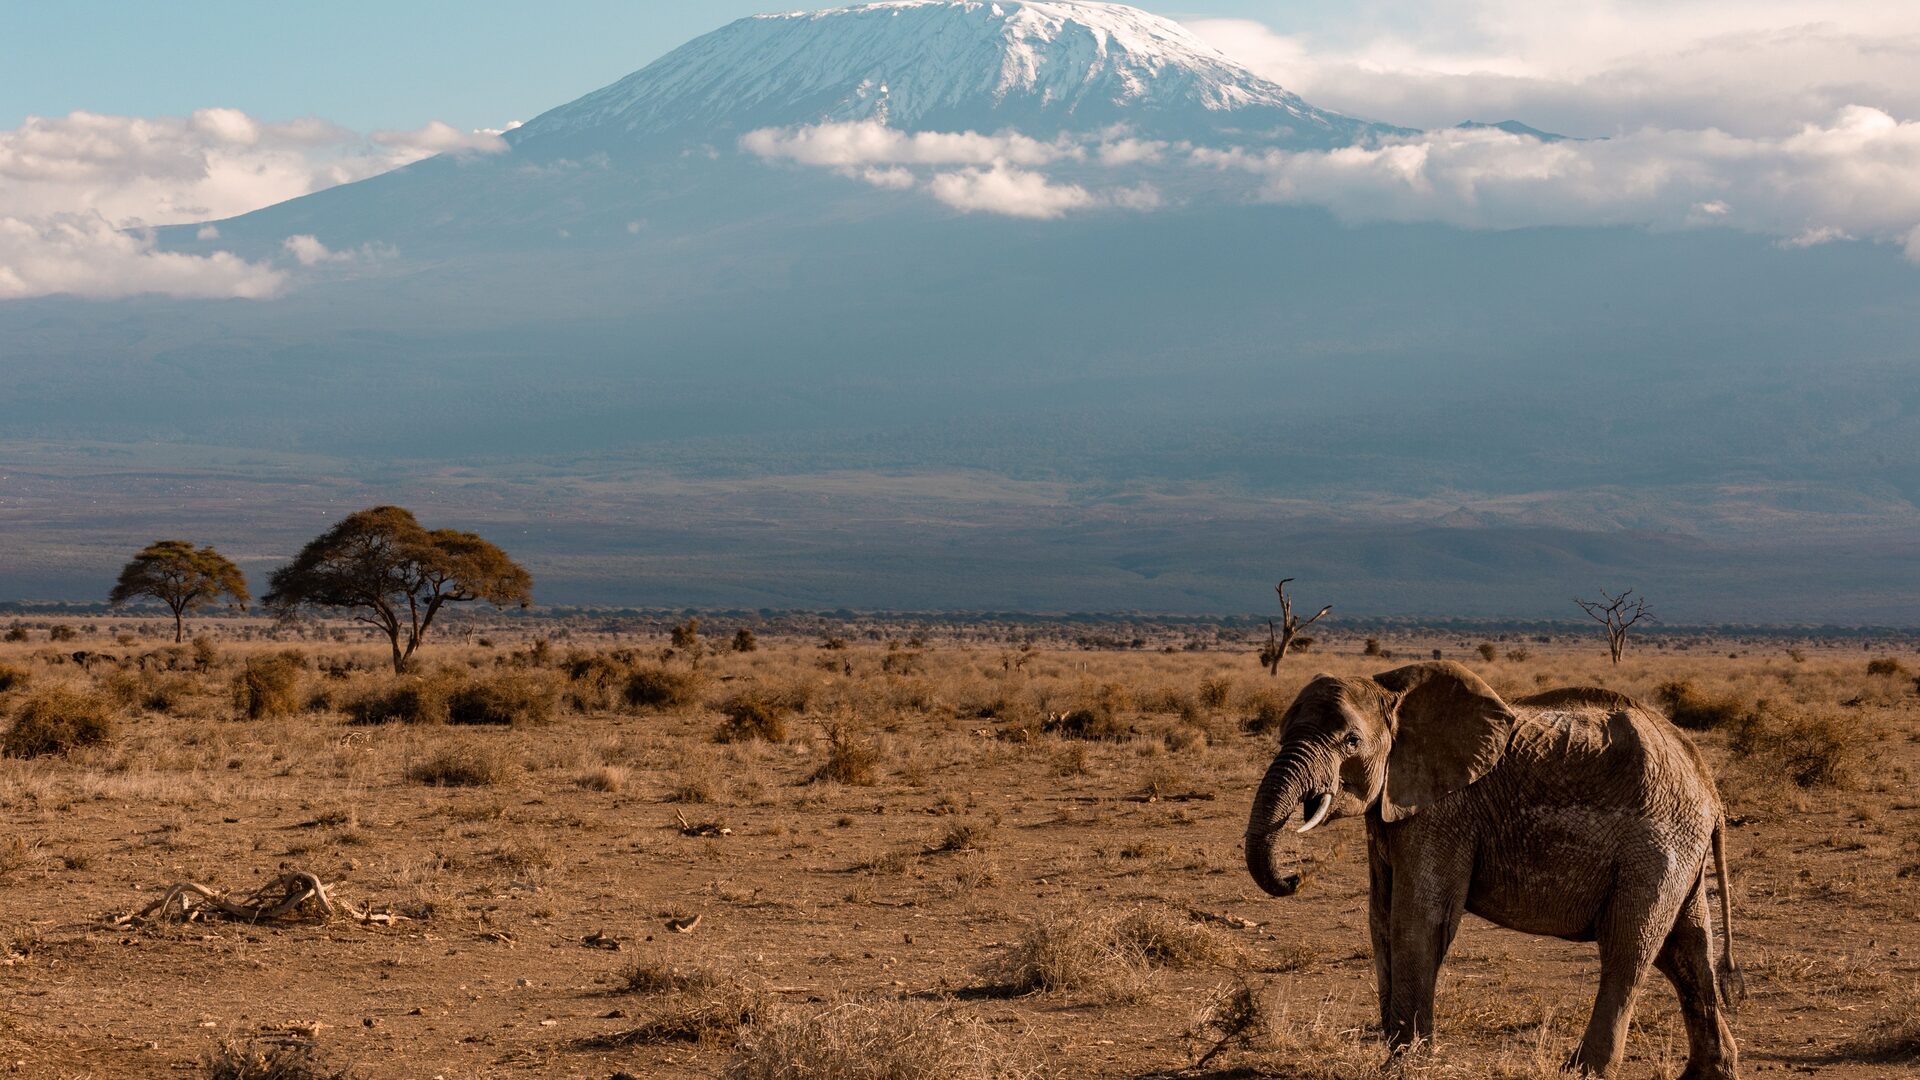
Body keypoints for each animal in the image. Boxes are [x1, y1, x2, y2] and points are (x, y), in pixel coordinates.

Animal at [1243, 661, 1741, 1079]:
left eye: (1350, 741)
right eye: (1282, 732)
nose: (1295, 878)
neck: (1391, 690)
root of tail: (1708, 787)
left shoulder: (1445, 810)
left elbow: (1418, 920)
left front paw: (1403, 1065)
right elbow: (1380, 920)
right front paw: (1398, 1054)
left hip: (1657, 844)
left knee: (1629, 945)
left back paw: (1582, 1071)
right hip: (1679, 846)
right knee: (1686, 950)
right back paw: (1708, 1073)